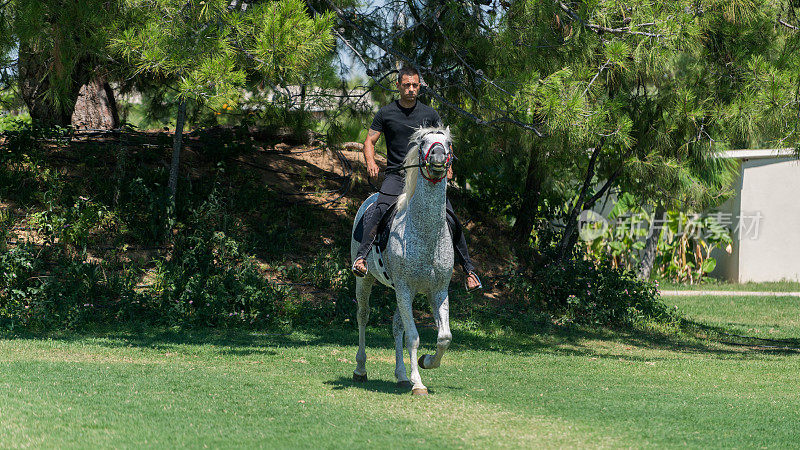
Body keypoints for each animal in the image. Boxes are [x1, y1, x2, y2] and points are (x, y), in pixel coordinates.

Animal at [348, 125, 454, 396]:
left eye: (448, 143)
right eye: (423, 141)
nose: (438, 156)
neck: (426, 235)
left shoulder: (437, 291)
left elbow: (444, 337)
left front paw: (425, 362)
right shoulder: (405, 289)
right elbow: (413, 337)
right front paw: (419, 383)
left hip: (402, 292)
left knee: (397, 325)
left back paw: (401, 376)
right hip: (366, 282)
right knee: (362, 316)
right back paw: (360, 369)